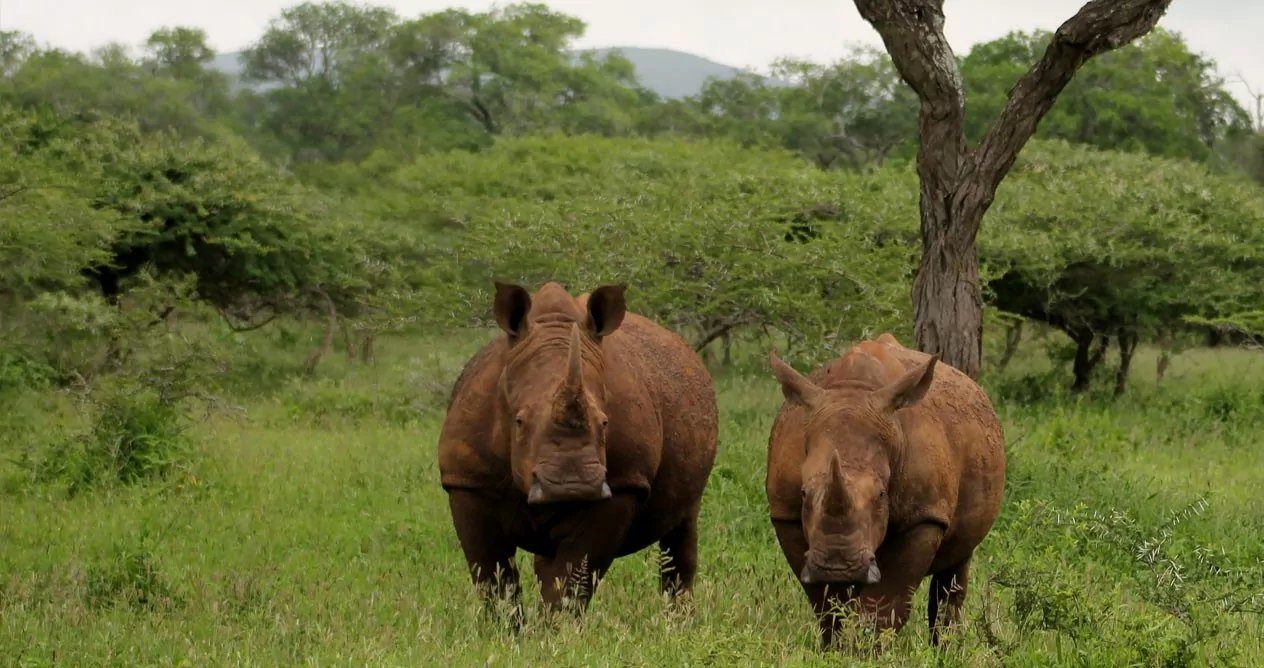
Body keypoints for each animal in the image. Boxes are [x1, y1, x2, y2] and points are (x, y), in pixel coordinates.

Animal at [439, 282, 718, 614]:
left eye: (606, 423)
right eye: (519, 422)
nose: (572, 486)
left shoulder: (622, 485)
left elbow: (573, 580)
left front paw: (555, 626)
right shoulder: (468, 482)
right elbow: (493, 579)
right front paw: (505, 626)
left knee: (682, 529)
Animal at [766, 334, 1005, 647]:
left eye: (881, 495)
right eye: (804, 493)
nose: (837, 566)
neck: (854, 388)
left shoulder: (924, 516)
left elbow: (885, 604)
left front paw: (866, 651)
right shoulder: (786, 513)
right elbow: (827, 604)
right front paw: (835, 649)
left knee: (956, 567)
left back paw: (946, 649)